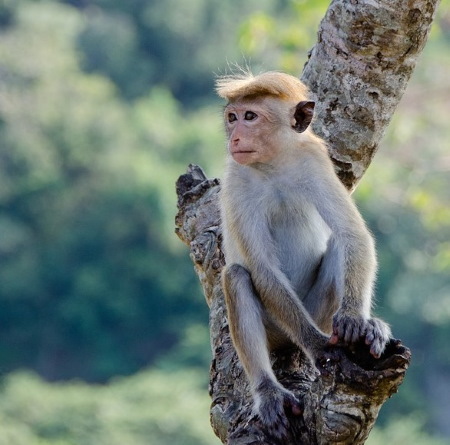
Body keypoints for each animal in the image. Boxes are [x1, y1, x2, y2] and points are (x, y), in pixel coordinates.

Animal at [214, 72, 390, 438]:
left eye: (250, 116)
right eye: (232, 117)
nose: (235, 137)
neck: (273, 164)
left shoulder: (314, 160)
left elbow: (352, 234)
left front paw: (356, 320)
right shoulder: (237, 180)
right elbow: (262, 268)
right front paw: (318, 347)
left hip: (317, 310)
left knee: (338, 244)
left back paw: (369, 327)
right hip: (277, 327)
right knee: (236, 276)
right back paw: (269, 391)